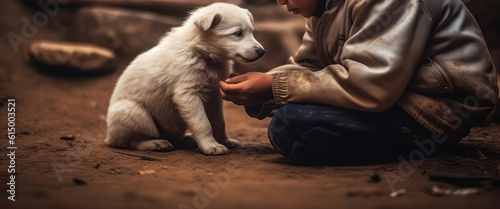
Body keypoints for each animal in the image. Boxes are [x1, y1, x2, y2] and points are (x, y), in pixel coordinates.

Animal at [106, 2, 266, 155]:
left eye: (252, 32)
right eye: (237, 33)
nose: (262, 52)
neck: (201, 53)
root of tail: (109, 138)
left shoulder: (214, 95)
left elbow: (218, 122)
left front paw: (224, 141)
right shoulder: (187, 94)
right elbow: (203, 123)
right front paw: (211, 146)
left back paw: (187, 140)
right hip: (134, 112)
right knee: (133, 141)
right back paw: (156, 143)